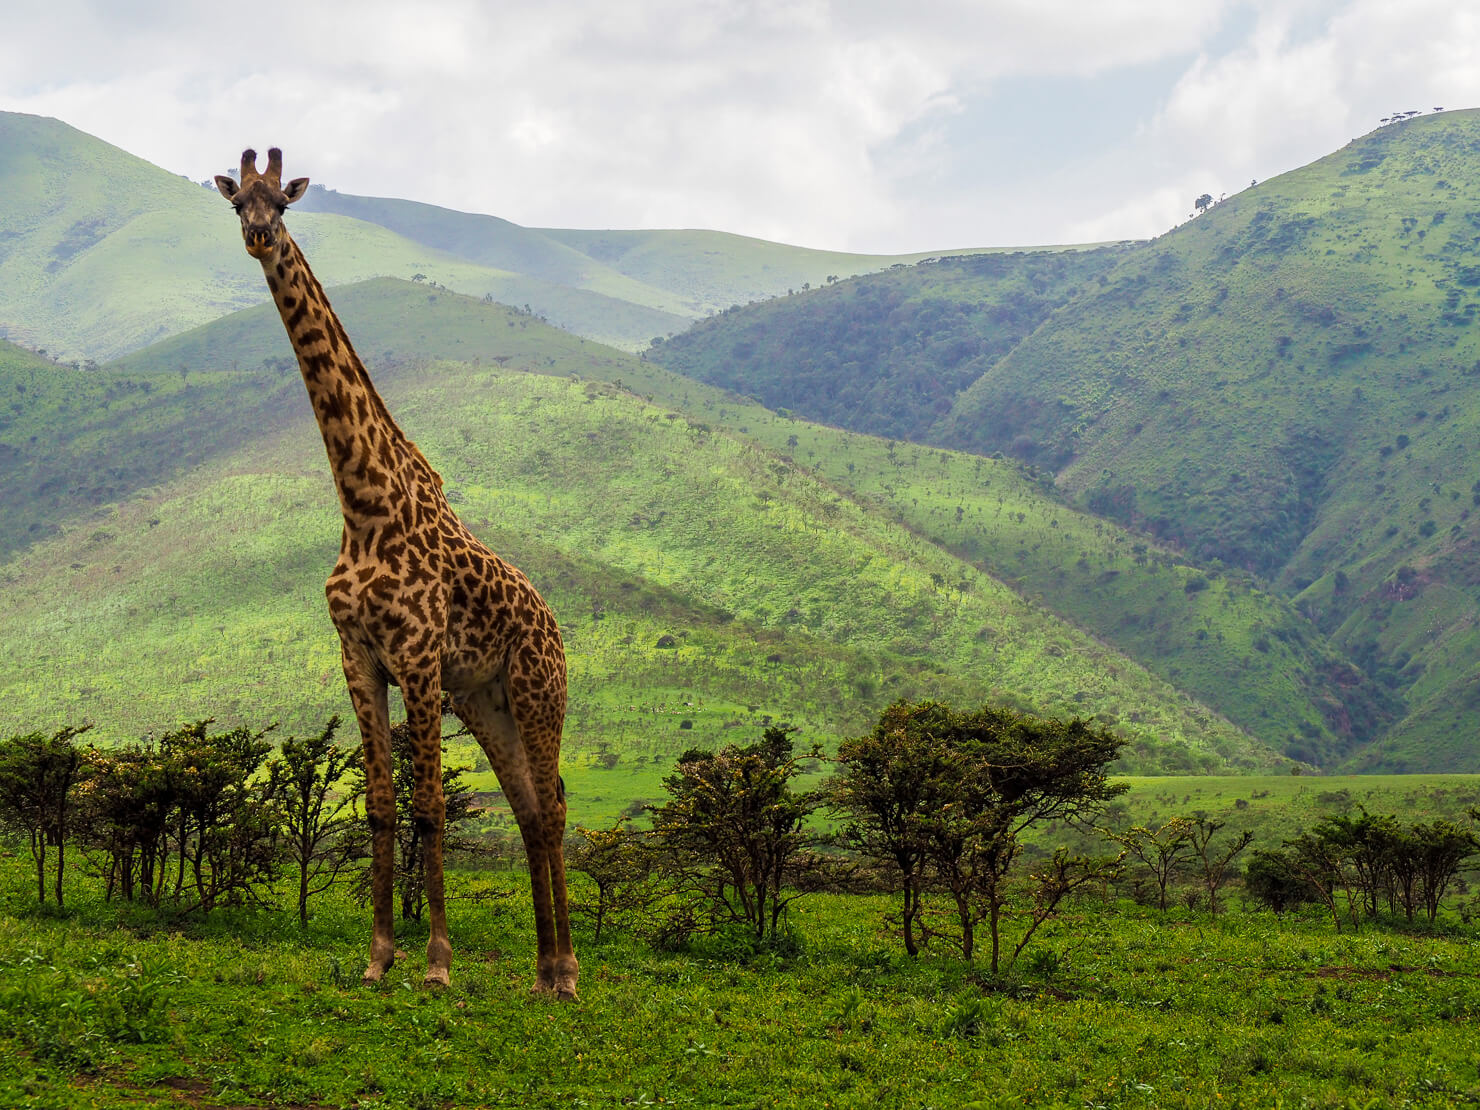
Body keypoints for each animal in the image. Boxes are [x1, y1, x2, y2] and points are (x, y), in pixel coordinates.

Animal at [219, 148, 577, 1000]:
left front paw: (439, 962)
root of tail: (555, 624)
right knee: (527, 809)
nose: (258, 236)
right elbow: (382, 806)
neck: (363, 503)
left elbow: (431, 809)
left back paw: (568, 973)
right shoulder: (359, 657)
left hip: (536, 691)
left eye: (283, 202)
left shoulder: (416, 657)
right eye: (236, 202)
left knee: (552, 808)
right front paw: (381, 955)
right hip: (486, 703)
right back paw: (542, 970)